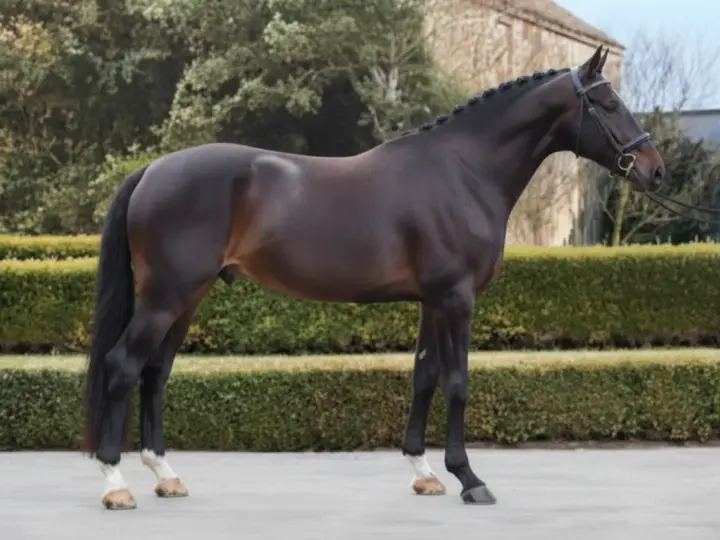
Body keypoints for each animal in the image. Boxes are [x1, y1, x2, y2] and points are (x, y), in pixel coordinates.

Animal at [82, 45, 665, 510]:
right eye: (607, 104)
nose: (654, 169)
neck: (463, 172)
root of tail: (152, 170)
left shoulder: (432, 301)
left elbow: (424, 377)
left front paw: (424, 474)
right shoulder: (457, 299)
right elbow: (457, 382)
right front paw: (469, 478)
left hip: (186, 298)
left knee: (155, 372)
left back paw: (166, 476)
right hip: (166, 297)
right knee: (123, 365)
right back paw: (115, 485)